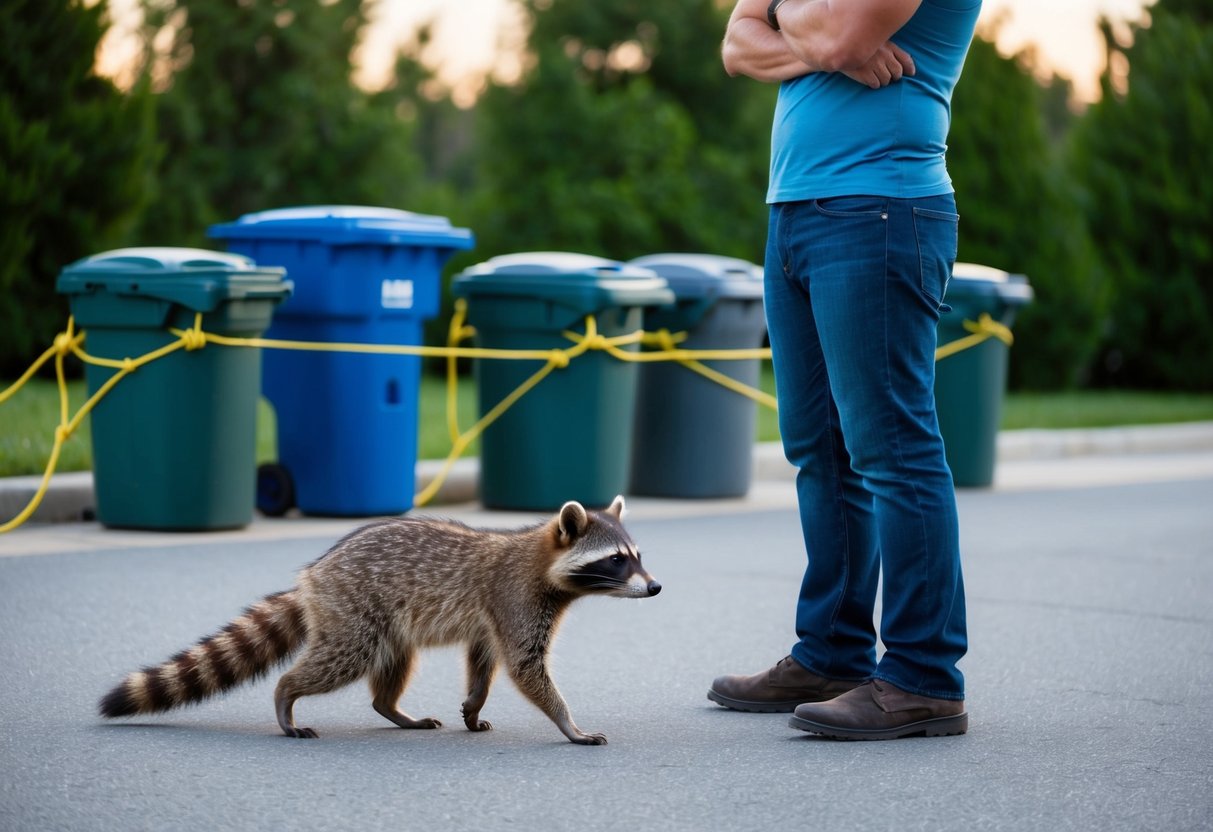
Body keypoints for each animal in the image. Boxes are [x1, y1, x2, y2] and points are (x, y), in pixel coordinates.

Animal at [99, 496, 659, 745]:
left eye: (637, 555)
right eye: (616, 560)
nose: (654, 587)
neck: (542, 558)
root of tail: (313, 575)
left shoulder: (492, 617)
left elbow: (483, 659)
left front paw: (474, 704)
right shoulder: (515, 599)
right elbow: (525, 667)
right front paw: (569, 724)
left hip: (387, 623)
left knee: (391, 669)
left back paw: (392, 709)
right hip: (353, 614)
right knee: (336, 661)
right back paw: (286, 696)